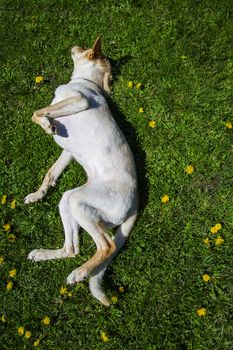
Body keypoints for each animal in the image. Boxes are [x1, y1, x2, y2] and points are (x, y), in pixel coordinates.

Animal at [25, 37, 138, 306]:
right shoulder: (68, 151)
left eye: (85, 48)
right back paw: (44, 255)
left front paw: (46, 124)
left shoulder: (79, 100)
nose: (73, 45)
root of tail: (137, 200)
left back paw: (80, 273)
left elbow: (36, 112)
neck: (89, 83)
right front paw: (38, 194)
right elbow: (51, 173)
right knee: (71, 250)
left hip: (79, 202)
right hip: (69, 200)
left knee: (106, 246)